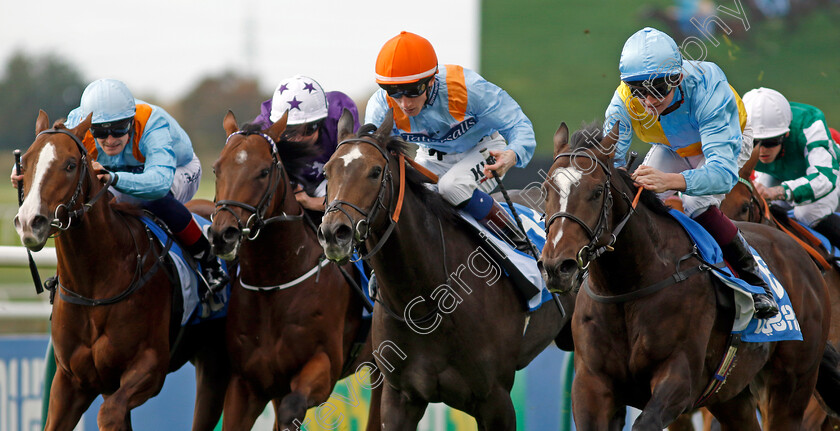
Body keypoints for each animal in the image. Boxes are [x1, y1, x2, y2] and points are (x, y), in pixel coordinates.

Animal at [15, 112, 226, 431]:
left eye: (70, 165)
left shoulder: (150, 367)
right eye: (24, 163)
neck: (94, 287)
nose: (30, 222)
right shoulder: (70, 382)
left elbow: (109, 414)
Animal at [208, 112, 378, 431]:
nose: (222, 234)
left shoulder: (323, 367)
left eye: (263, 171)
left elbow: (292, 409)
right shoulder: (246, 384)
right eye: (216, 168)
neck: (273, 286)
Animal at [318, 110, 576, 428]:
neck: (427, 300)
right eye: (327, 172)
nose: (334, 233)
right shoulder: (399, 398)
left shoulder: (496, 399)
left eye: (375, 171)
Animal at [540, 122, 840, 431]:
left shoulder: (680, 380)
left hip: (791, 387)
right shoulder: (591, 385)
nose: (557, 267)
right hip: (729, 396)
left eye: (597, 191)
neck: (625, 288)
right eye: (545, 189)